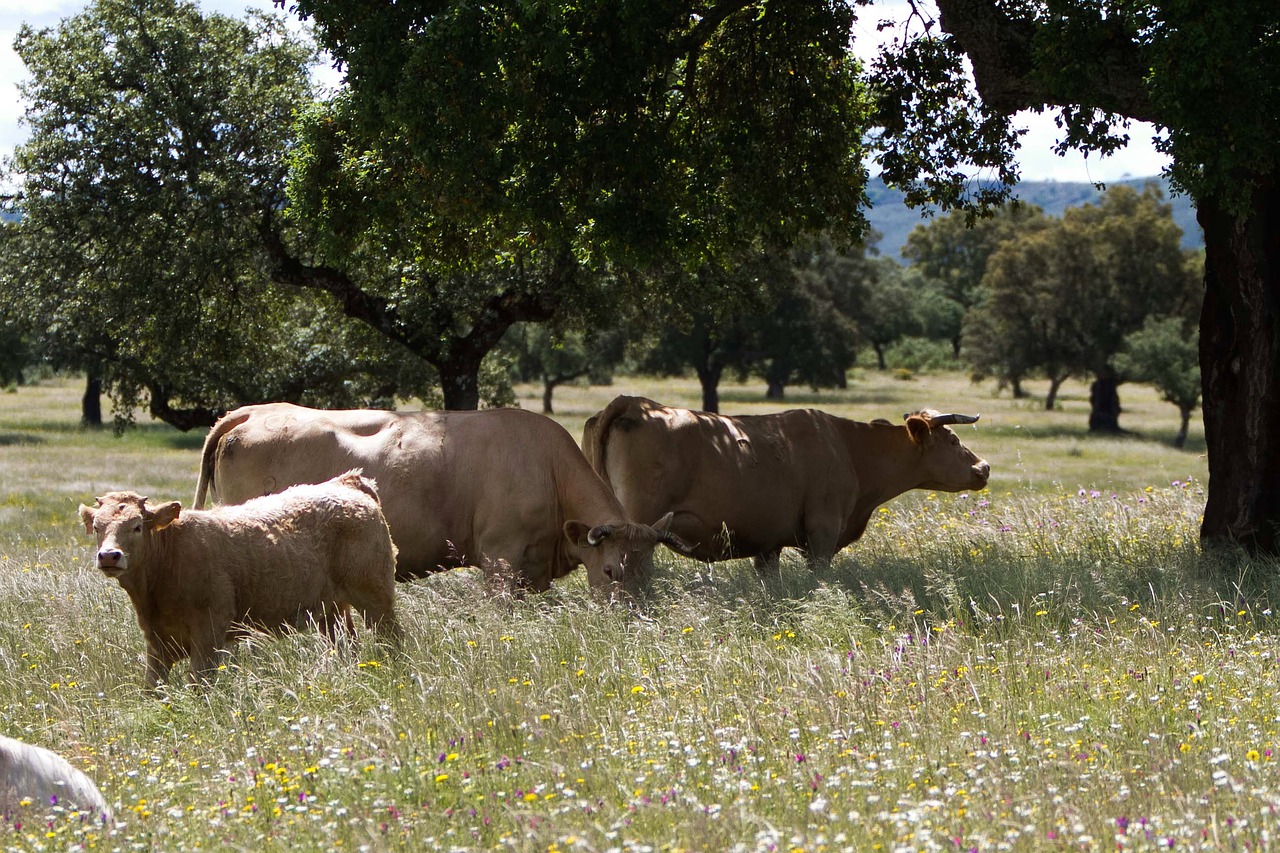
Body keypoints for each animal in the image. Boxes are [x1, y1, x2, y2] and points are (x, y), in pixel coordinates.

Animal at [80, 468, 399, 686]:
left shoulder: (209, 633)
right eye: (96, 527)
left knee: (391, 638)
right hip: (330, 610)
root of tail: (346, 483)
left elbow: (199, 683)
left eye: (136, 526)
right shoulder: (156, 641)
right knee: (345, 645)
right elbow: (152, 688)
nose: (109, 556)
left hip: (376, 599)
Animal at [581, 394, 988, 568]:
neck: (847, 448)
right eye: (953, 440)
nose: (983, 468)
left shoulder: (768, 543)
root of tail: (634, 402)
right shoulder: (822, 533)